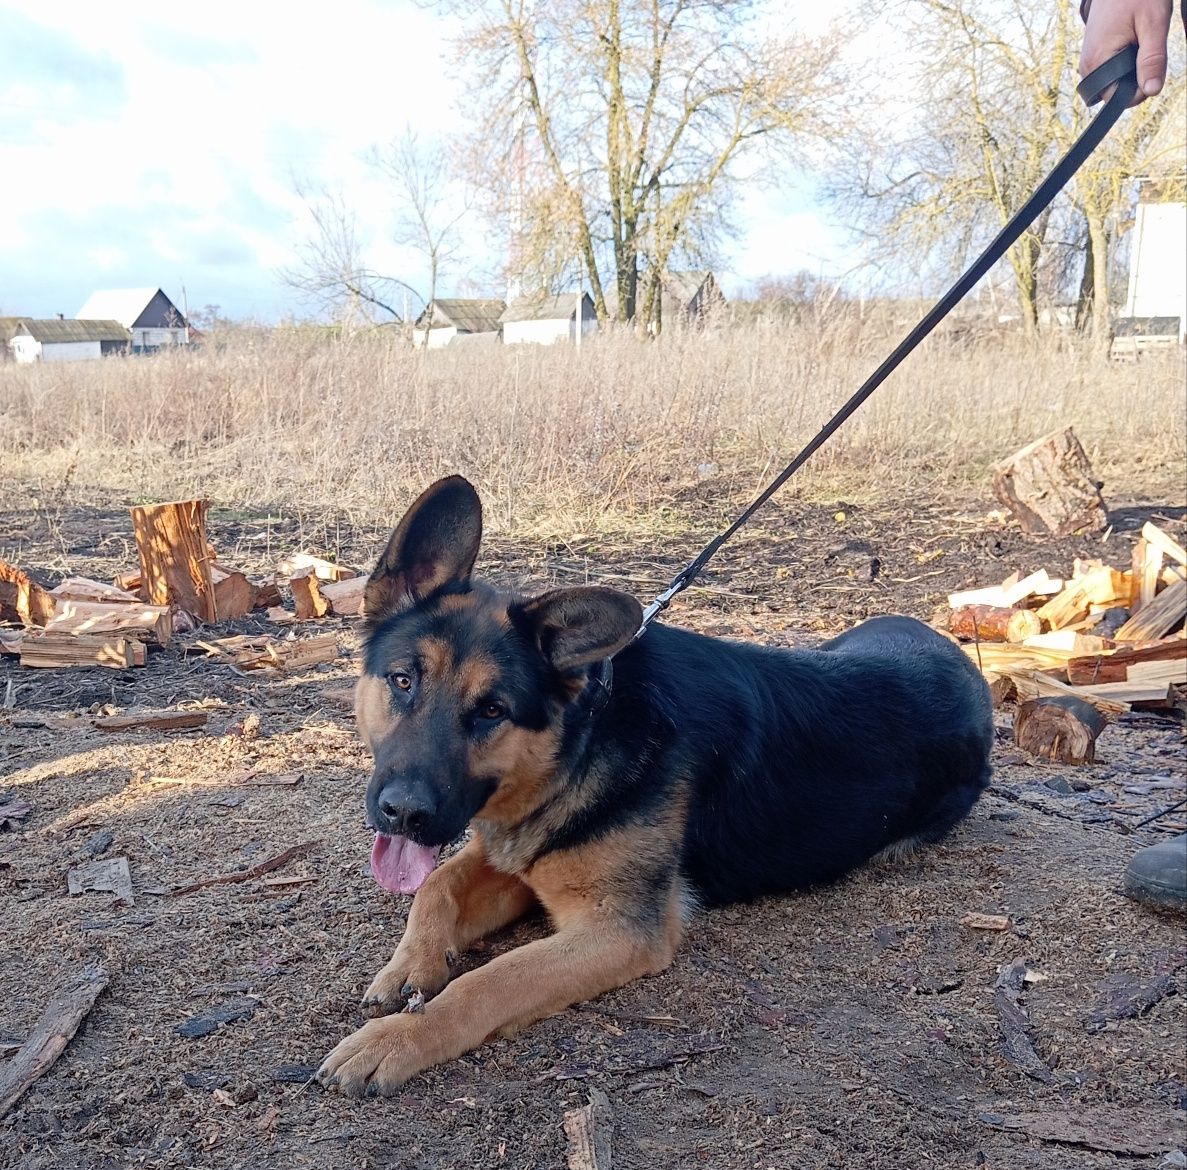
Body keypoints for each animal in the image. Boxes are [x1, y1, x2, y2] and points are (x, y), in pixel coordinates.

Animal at [318, 474, 992, 1096]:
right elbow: (437, 886)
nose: (403, 814)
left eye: (492, 711)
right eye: (403, 680)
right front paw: (410, 966)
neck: (586, 737)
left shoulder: (619, 930)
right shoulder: (515, 851)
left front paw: (399, 1037)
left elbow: (488, 981)